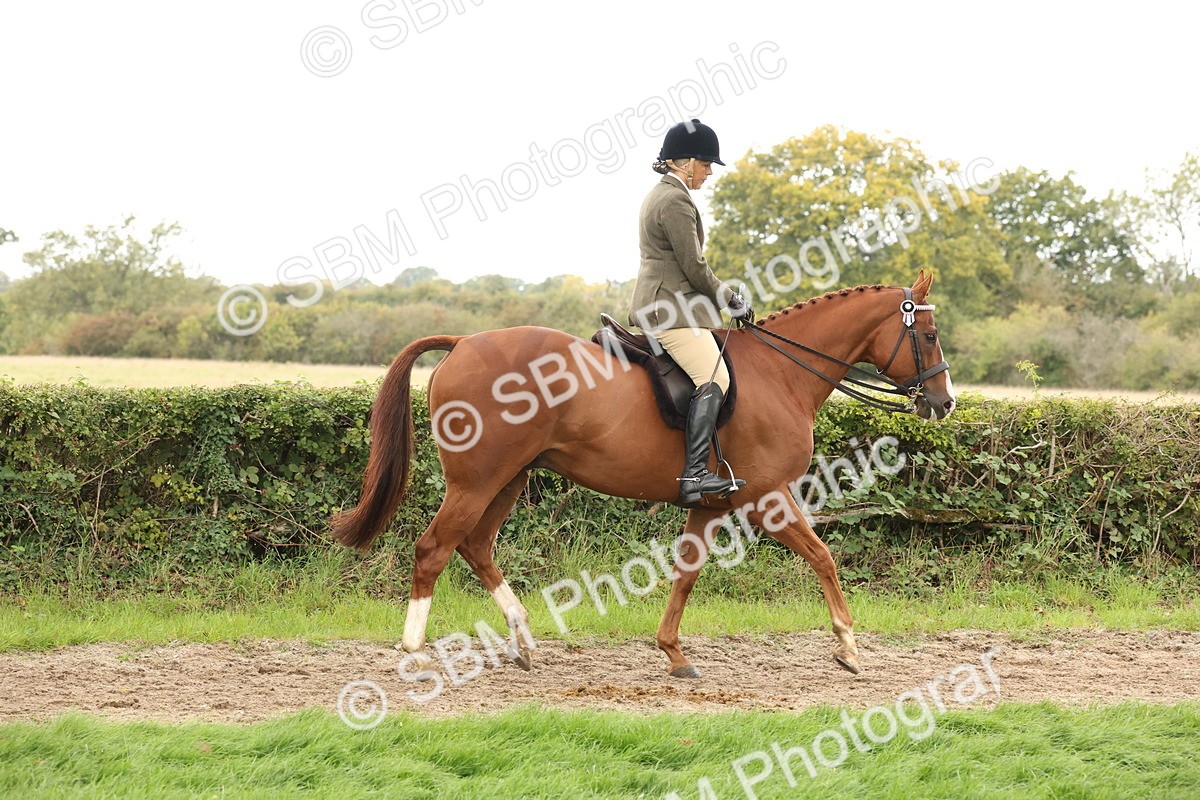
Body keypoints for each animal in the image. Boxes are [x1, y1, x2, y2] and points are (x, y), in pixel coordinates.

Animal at [331, 270, 956, 678]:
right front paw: (848, 647)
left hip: (507, 480)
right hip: (477, 482)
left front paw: (674, 653)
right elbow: (824, 557)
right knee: (434, 549)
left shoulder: (711, 505)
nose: (944, 403)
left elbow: (685, 574)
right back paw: (415, 651)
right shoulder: (768, 499)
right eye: (927, 336)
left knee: (476, 546)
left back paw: (525, 641)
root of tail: (461, 343)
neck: (781, 374)